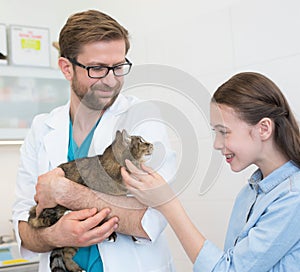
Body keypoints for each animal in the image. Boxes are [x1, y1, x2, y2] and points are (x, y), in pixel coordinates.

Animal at [27, 130, 152, 272]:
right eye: (142, 141)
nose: (152, 144)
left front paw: (133, 237)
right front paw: (110, 233)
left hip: (72, 243)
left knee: (66, 253)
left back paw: (75, 267)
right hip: (47, 206)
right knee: (40, 219)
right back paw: (66, 214)